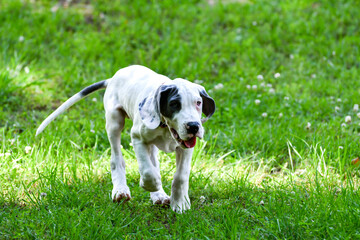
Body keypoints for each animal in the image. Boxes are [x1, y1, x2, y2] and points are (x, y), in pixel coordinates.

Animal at [36, 64, 215, 213]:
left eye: (198, 103)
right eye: (174, 104)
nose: (193, 126)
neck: (165, 127)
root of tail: (114, 77)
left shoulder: (185, 148)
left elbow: (180, 176)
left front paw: (180, 202)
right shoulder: (137, 138)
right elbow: (147, 170)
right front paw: (149, 184)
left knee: (154, 162)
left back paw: (159, 195)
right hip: (114, 122)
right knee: (117, 159)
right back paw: (121, 190)